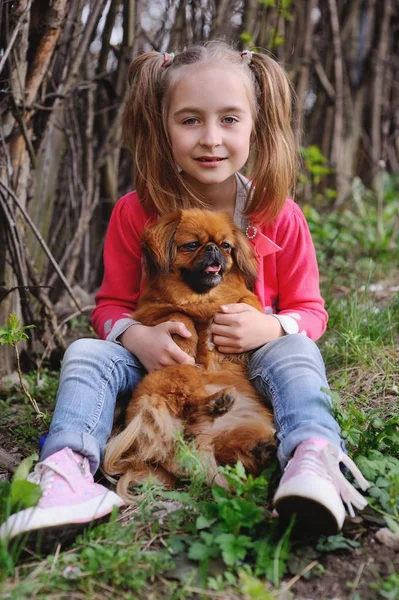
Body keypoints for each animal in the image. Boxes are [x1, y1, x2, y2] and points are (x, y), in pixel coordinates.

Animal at [104, 209, 276, 500]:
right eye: (192, 245)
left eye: (226, 246)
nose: (213, 248)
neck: (201, 297)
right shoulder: (153, 312)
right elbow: (178, 315)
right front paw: (190, 338)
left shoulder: (242, 301)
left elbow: (243, 305)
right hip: (178, 374)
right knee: (190, 406)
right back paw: (217, 402)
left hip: (250, 426)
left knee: (233, 454)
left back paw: (262, 447)